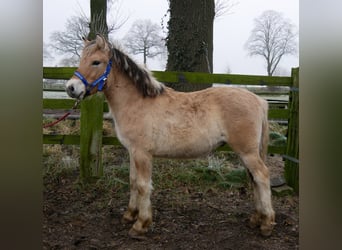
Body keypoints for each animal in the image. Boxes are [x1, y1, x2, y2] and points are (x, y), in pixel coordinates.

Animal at [66, 34, 276, 236]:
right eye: (81, 59)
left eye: (96, 62)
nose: (71, 88)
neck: (137, 102)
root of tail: (260, 101)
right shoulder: (132, 152)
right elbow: (133, 182)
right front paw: (130, 214)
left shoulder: (142, 154)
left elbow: (143, 185)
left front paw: (141, 224)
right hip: (246, 153)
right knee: (254, 179)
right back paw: (256, 218)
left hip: (247, 152)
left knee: (262, 176)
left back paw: (267, 223)